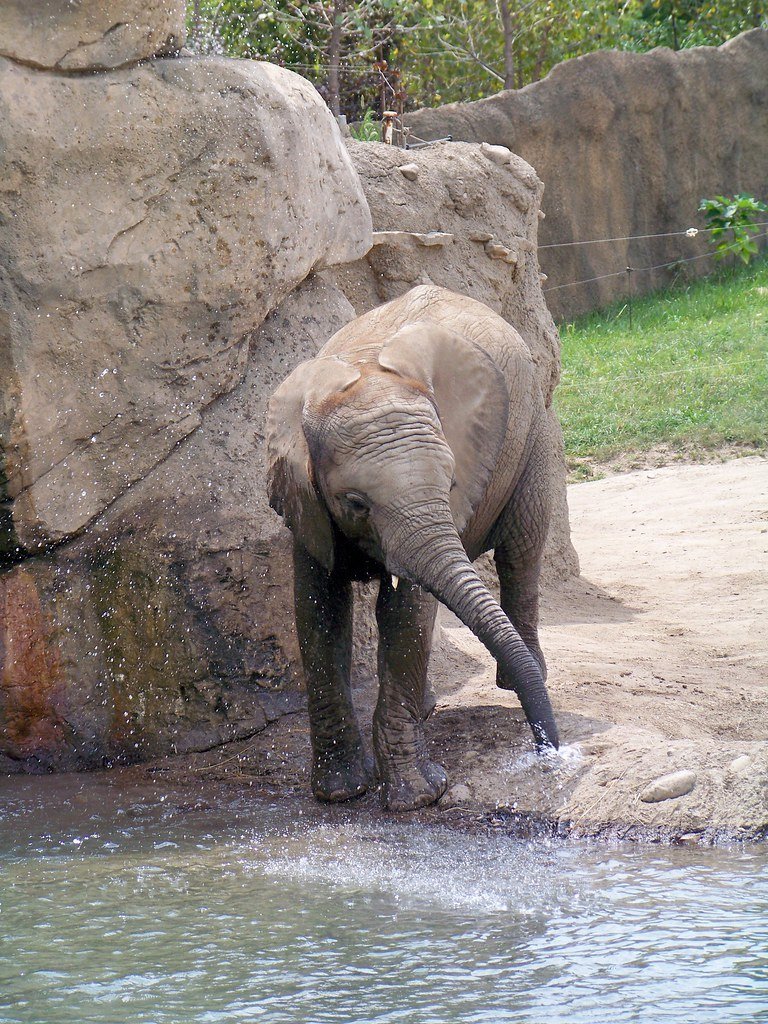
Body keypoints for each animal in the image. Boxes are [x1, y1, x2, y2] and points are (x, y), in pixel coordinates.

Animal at [266, 284, 559, 811]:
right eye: (355, 503)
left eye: (451, 484)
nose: (550, 752)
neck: (363, 374)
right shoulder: (305, 499)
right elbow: (317, 608)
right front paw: (341, 792)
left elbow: (409, 612)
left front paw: (416, 798)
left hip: (535, 434)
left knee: (522, 551)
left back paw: (519, 679)